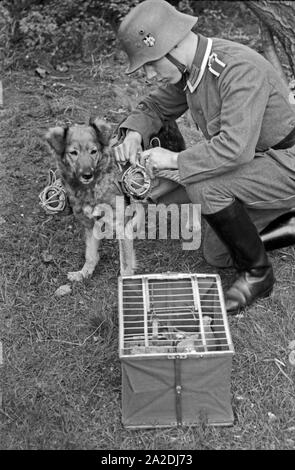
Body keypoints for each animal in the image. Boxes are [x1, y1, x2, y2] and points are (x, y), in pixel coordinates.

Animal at [45, 118, 185, 280]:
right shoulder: (90, 224)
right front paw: (84, 272)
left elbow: (125, 263)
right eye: (73, 153)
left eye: (94, 151)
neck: (93, 188)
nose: (87, 175)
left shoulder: (120, 226)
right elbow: (90, 254)